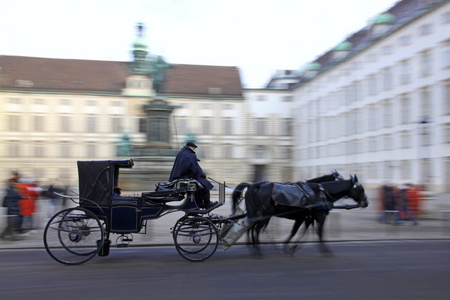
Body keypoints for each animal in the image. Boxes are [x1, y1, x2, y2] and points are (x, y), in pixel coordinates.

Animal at [232, 175, 370, 254]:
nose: (366, 202)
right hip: (265, 215)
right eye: (361, 188)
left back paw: (254, 247)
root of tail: (254, 185)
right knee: (257, 229)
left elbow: (298, 231)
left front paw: (289, 247)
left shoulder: (305, 217)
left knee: (252, 229)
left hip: (259, 215)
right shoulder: (319, 217)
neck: (320, 193)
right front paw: (324, 248)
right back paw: (258, 249)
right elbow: (319, 232)